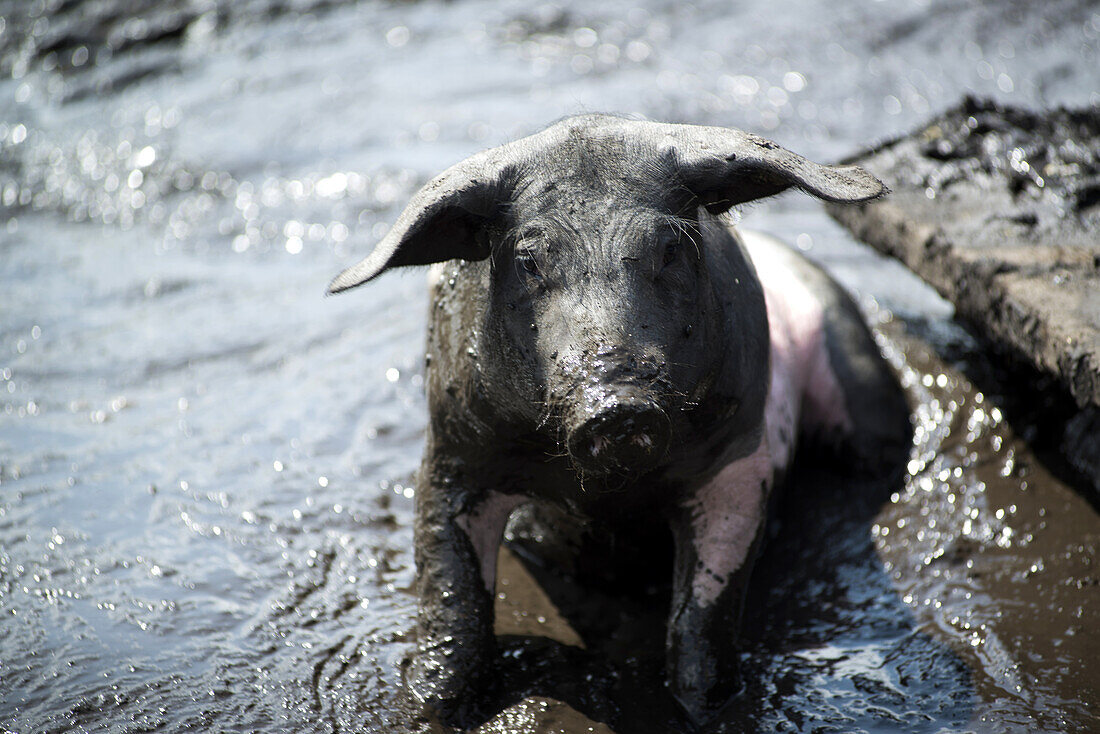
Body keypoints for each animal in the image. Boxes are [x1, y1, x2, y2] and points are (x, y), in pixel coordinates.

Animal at [325, 117, 910, 726]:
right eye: (530, 261)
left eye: (670, 249)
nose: (617, 404)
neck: (608, 498)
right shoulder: (453, 452)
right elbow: (451, 602)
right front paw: (430, 708)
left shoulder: (740, 462)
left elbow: (704, 620)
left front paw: (705, 708)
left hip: (851, 353)